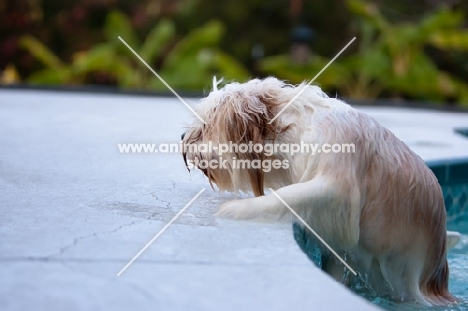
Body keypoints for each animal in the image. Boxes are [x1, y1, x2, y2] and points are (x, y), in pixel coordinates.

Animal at [181, 77, 456, 306]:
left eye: (204, 126)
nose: (183, 136)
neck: (295, 134)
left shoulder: (337, 184)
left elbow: (287, 197)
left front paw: (236, 208)